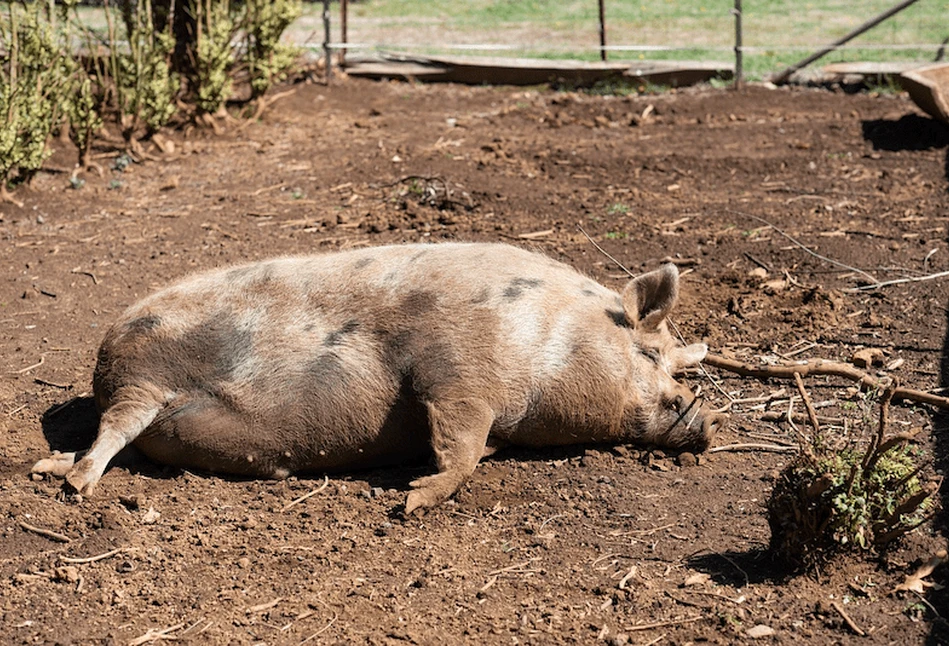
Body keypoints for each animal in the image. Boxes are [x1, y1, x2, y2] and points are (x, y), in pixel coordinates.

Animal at [33, 243, 724, 516]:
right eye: (651, 354)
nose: (708, 416)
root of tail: (105, 355)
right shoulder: (456, 367)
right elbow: (460, 443)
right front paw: (412, 500)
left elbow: (473, 447)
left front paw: (413, 490)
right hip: (142, 377)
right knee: (112, 432)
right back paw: (73, 485)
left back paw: (55, 468)